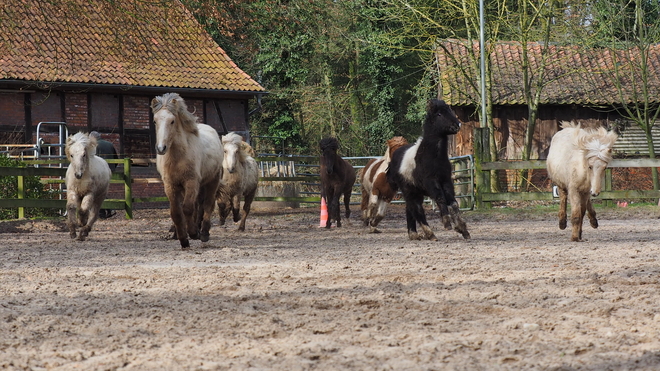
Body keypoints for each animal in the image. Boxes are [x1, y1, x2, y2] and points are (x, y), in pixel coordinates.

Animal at [151, 93, 223, 250]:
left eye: (172, 121)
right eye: (155, 121)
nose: (161, 148)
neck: (178, 157)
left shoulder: (191, 182)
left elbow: (188, 209)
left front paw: (194, 233)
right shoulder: (171, 185)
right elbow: (176, 213)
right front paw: (183, 239)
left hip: (212, 181)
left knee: (208, 204)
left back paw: (204, 233)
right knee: (198, 205)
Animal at [384, 99, 472, 241]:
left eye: (450, 110)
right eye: (439, 114)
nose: (457, 125)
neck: (433, 157)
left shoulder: (446, 180)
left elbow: (453, 203)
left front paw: (462, 229)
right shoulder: (431, 181)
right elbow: (441, 198)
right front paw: (447, 223)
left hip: (416, 192)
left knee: (410, 209)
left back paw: (414, 234)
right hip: (408, 191)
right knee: (416, 209)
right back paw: (430, 234)